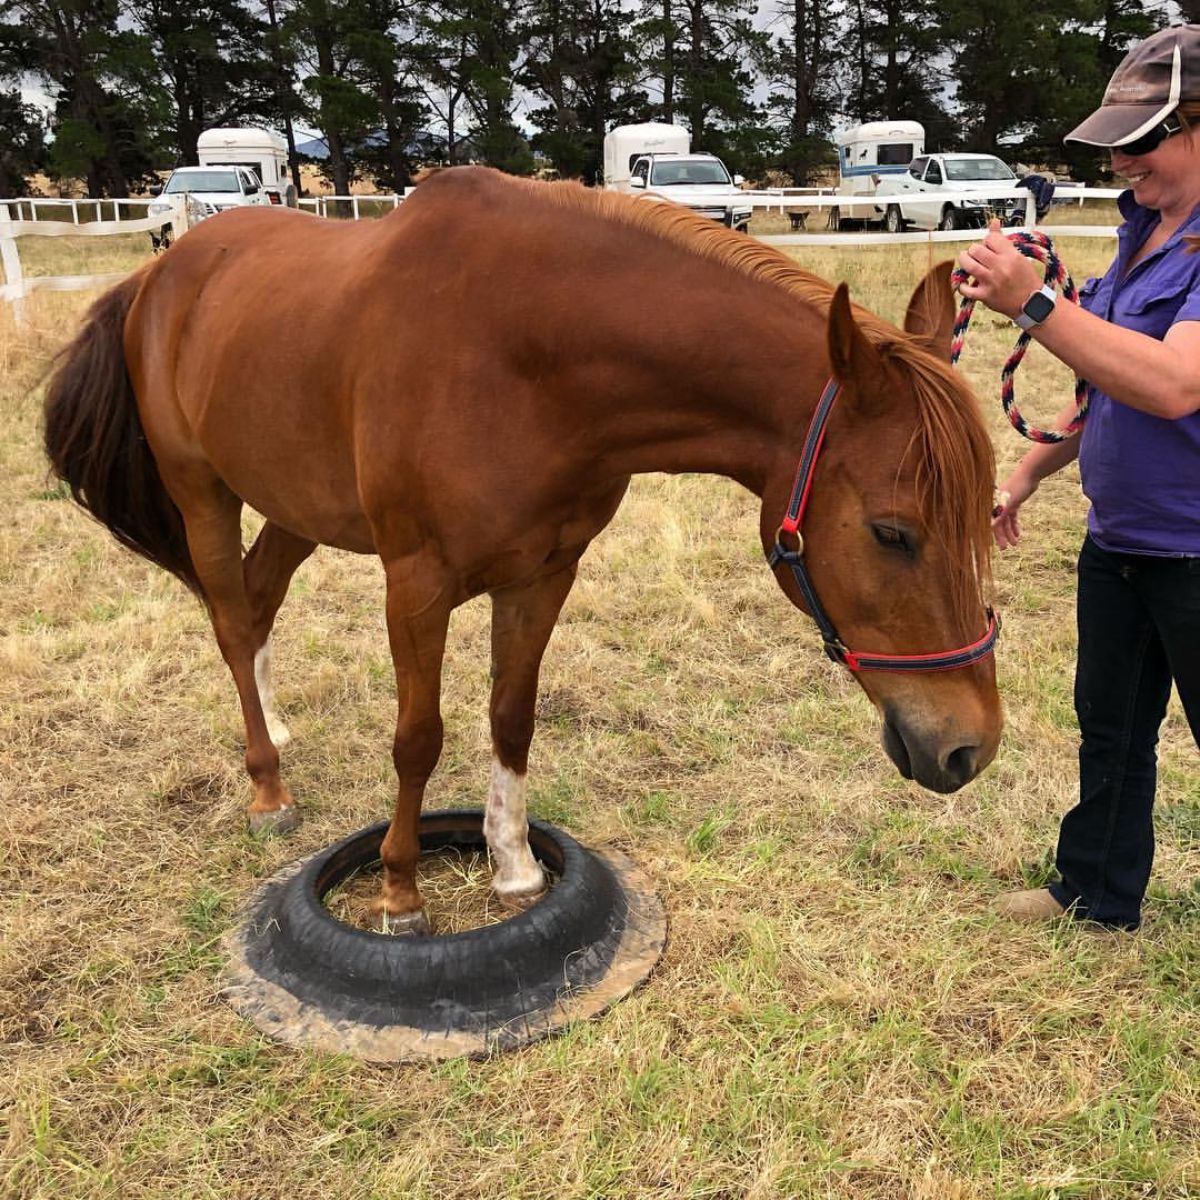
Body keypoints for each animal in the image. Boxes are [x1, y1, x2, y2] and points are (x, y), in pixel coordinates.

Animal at [44, 166, 1003, 936]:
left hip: (296, 505)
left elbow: (512, 714)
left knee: (254, 601)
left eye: (984, 518)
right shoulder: (416, 583)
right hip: (202, 491)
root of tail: (159, 271)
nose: (970, 750)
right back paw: (268, 785)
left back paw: (275, 725)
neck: (521, 352)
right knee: (231, 620)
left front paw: (513, 868)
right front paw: (400, 892)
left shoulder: (544, 573)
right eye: (892, 531)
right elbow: (418, 737)